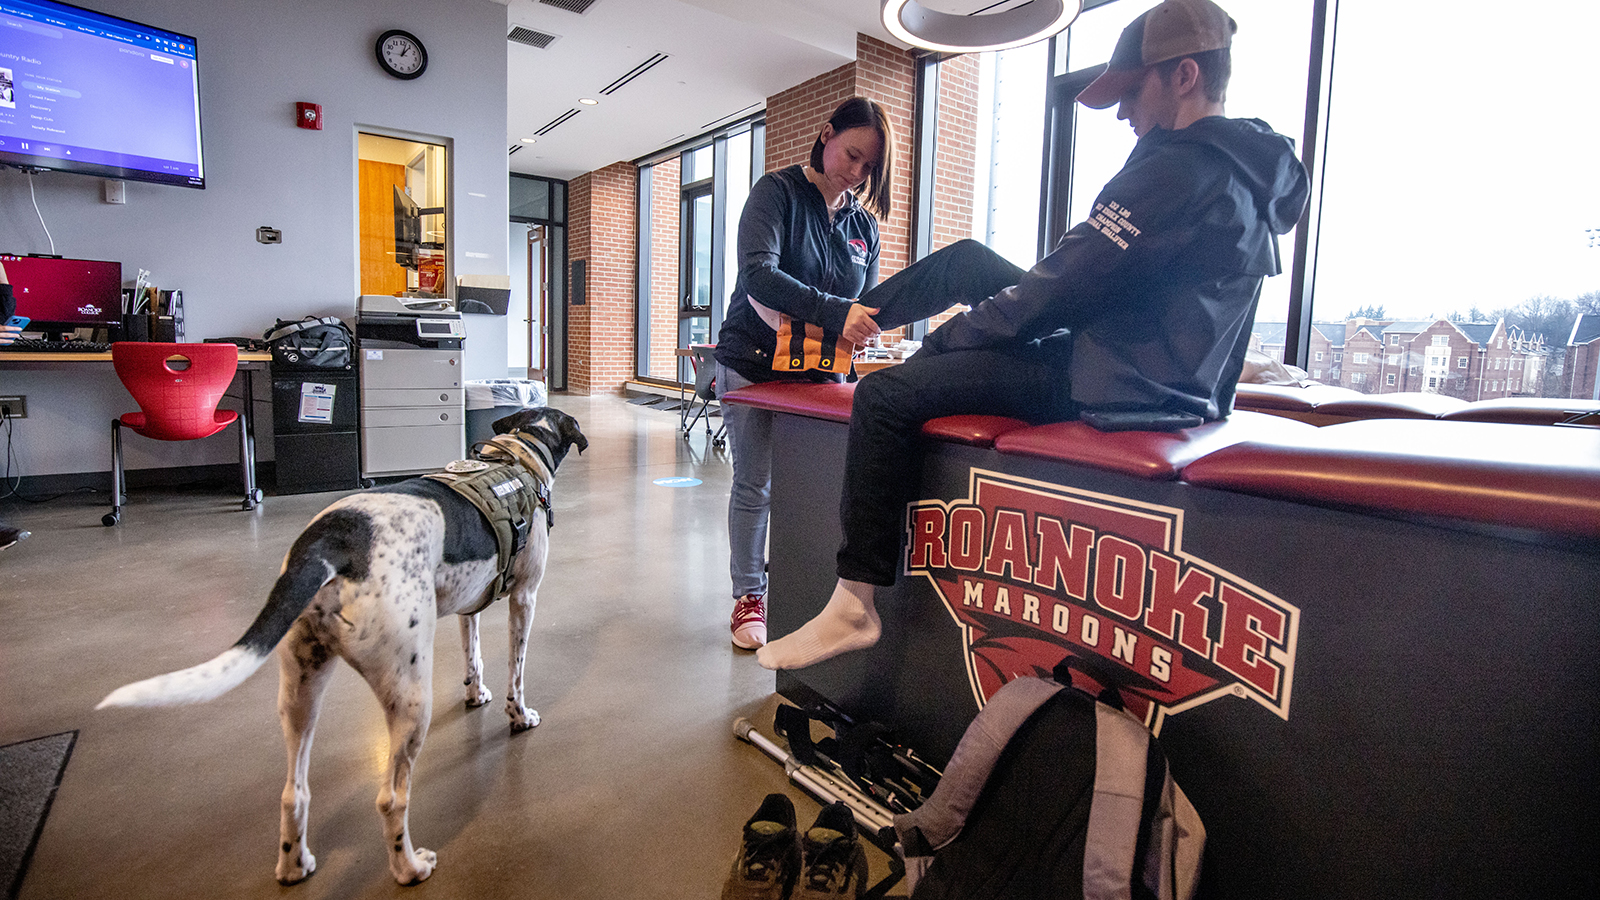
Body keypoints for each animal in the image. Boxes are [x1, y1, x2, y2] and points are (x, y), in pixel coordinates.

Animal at [98, 406, 588, 883]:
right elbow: (515, 673)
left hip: (302, 690)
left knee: (293, 793)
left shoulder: (471, 606)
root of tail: (328, 542)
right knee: (390, 798)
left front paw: (475, 693)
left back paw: (294, 866)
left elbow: (474, 656)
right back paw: (409, 868)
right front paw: (518, 716)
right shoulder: (524, 599)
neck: (516, 457)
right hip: (410, 697)